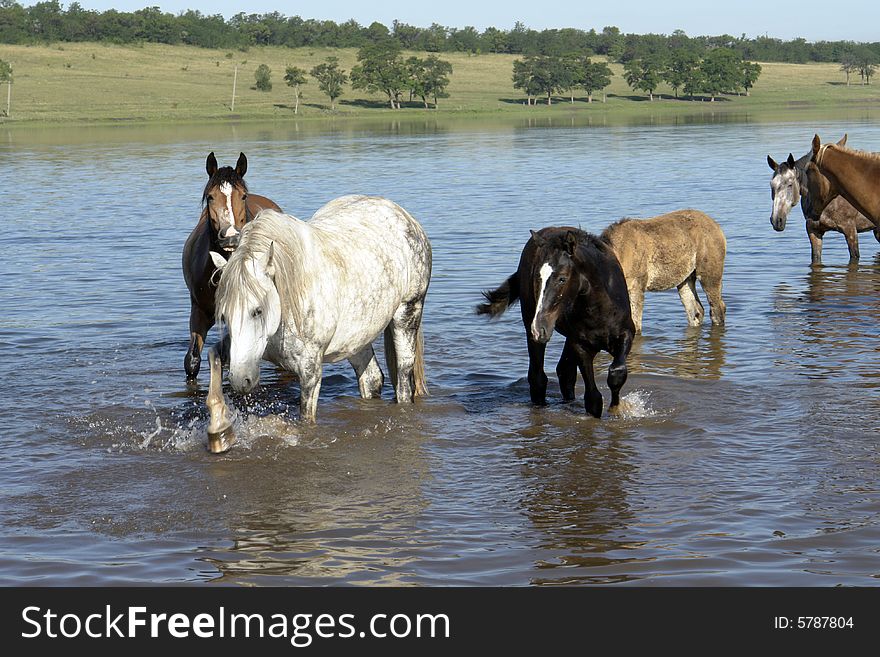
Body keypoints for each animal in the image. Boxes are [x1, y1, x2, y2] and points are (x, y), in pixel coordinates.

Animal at [203, 195, 430, 452]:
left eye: (257, 310)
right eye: (224, 316)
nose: (241, 380)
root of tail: (405, 217)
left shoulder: (310, 370)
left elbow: (306, 418)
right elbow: (213, 354)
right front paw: (220, 431)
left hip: (408, 313)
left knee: (403, 380)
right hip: (357, 338)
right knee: (371, 378)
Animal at [478, 228, 636, 418]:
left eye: (562, 278)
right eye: (537, 278)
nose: (539, 328)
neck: (600, 309)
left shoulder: (625, 335)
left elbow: (616, 372)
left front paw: (616, 408)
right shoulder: (581, 346)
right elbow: (593, 399)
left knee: (565, 372)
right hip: (533, 327)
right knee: (538, 377)